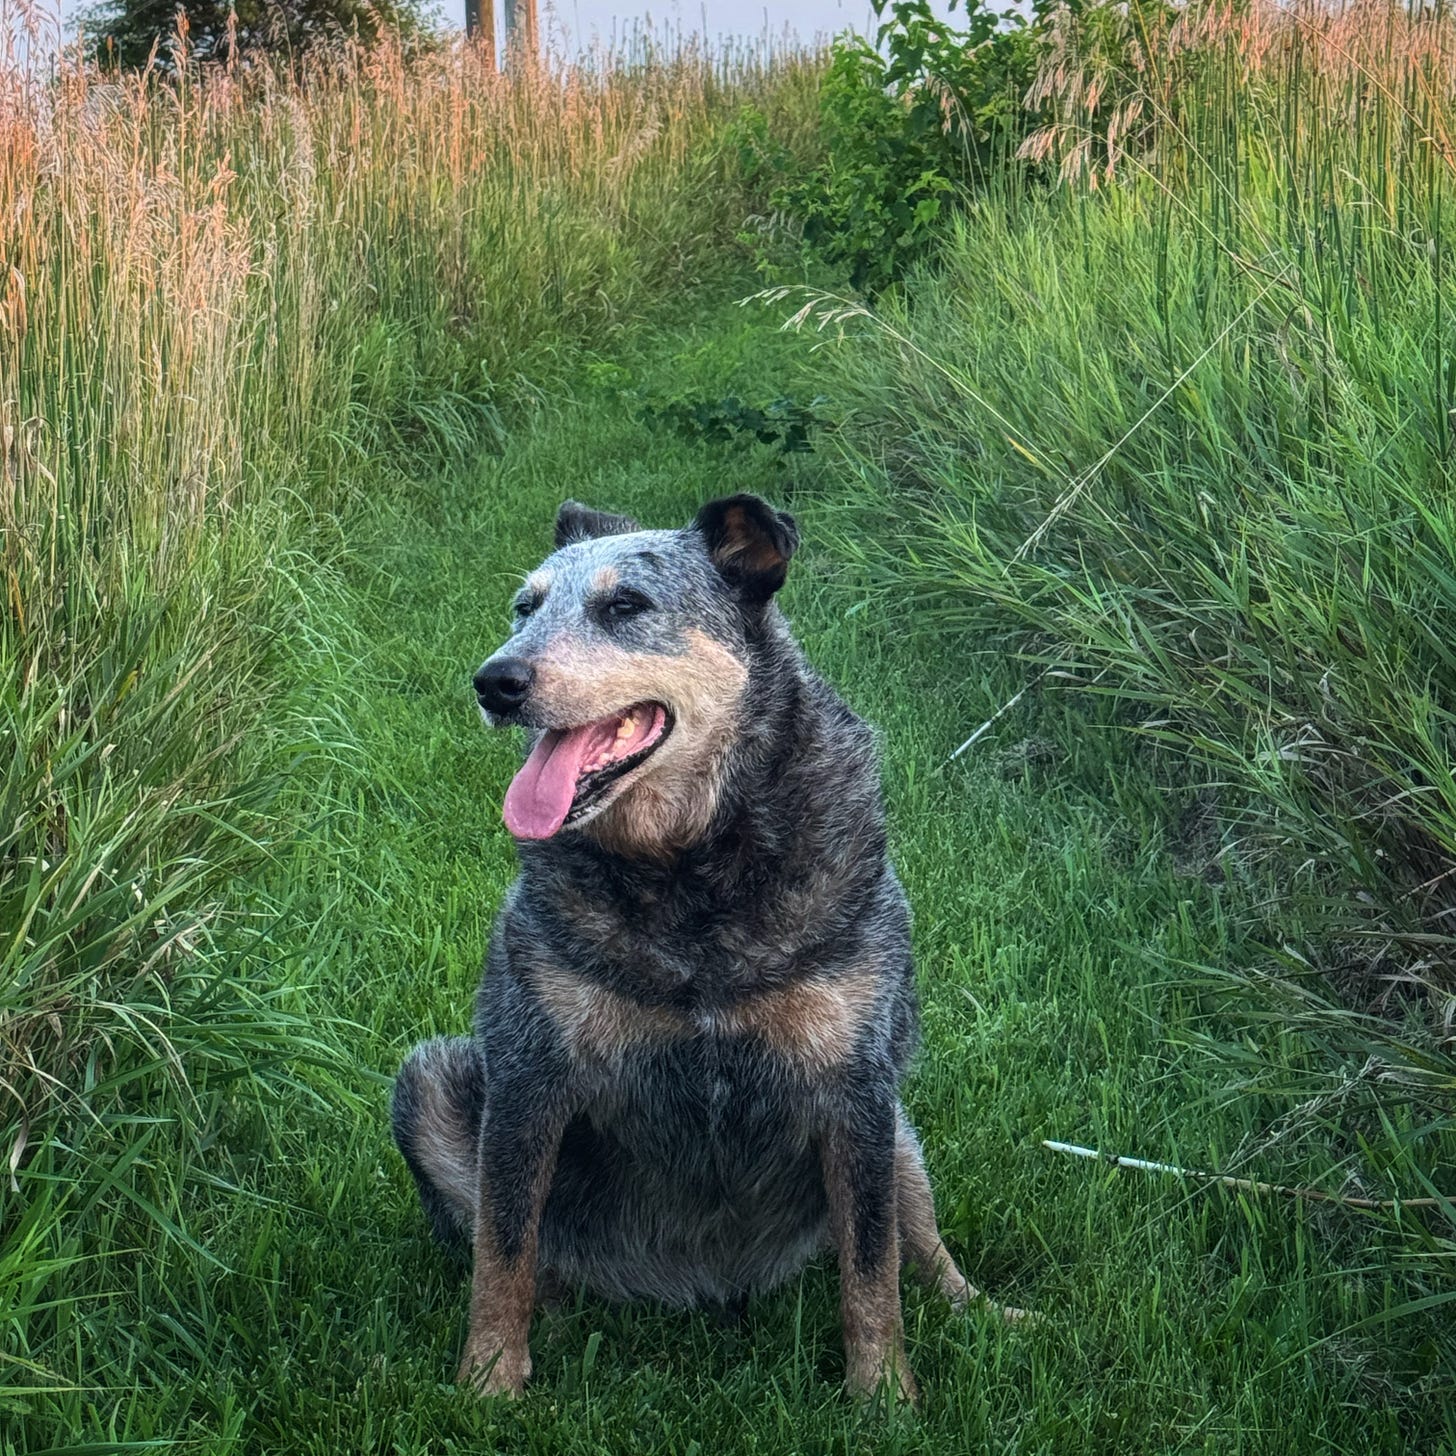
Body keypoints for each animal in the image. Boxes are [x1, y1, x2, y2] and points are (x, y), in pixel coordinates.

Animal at [391, 494, 1010, 1401]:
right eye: (524, 607)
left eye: (624, 606)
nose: (495, 681)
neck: (692, 874)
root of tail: (705, 1285)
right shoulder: (529, 1076)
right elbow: (501, 1248)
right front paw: (488, 1386)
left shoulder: (856, 1086)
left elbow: (872, 1267)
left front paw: (885, 1397)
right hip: (429, 1081)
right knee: (522, 1246)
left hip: (896, 1122)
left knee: (916, 1238)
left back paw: (990, 1314)